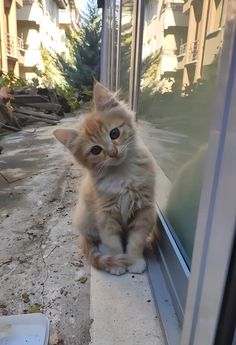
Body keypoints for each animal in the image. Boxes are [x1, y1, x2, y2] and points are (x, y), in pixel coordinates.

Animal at [53, 82, 157, 276]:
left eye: (114, 133)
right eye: (95, 150)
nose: (113, 152)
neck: (122, 174)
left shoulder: (144, 210)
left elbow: (136, 240)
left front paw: (134, 260)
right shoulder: (105, 214)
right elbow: (112, 243)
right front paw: (117, 264)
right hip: (86, 218)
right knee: (96, 240)